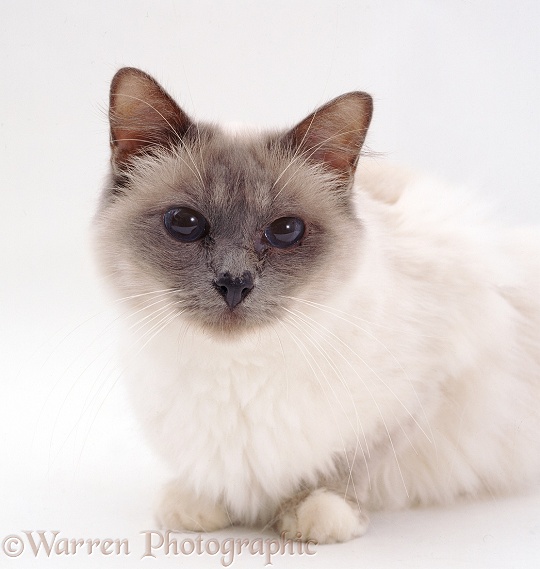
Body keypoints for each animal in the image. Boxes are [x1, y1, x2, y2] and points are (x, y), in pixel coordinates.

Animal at [95, 69, 540, 544]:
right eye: (184, 223)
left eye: (285, 231)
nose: (234, 283)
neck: (235, 369)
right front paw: (200, 503)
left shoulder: (424, 394)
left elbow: (350, 466)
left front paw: (316, 513)